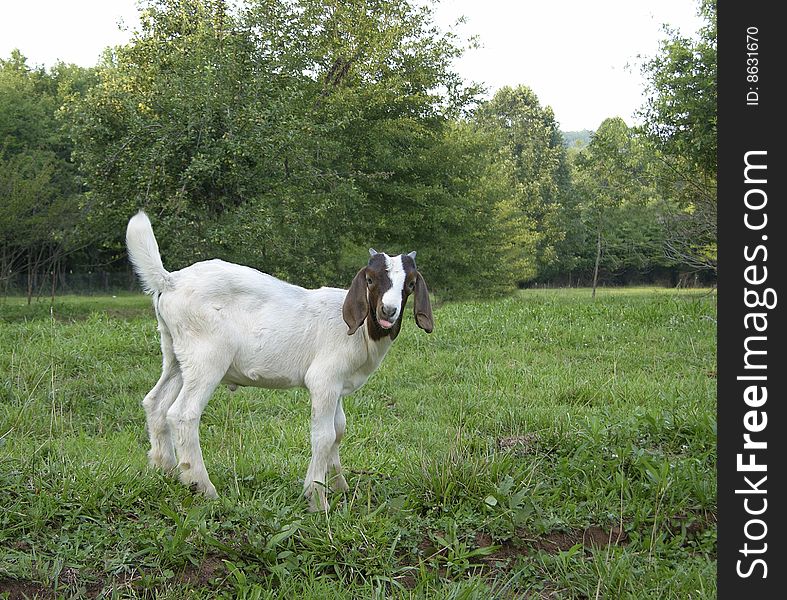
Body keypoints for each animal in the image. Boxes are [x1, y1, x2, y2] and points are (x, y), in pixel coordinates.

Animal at [126, 211, 434, 510]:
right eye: (370, 279)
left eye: (410, 284)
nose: (388, 310)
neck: (360, 331)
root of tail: (169, 281)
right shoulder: (323, 380)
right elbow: (323, 436)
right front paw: (317, 497)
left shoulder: (337, 384)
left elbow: (338, 430)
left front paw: (340, 487)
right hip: (207, 356)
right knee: (183, 413)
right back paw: (202, 486)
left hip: (176, 354)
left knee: (155, 402)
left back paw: (166, 470)